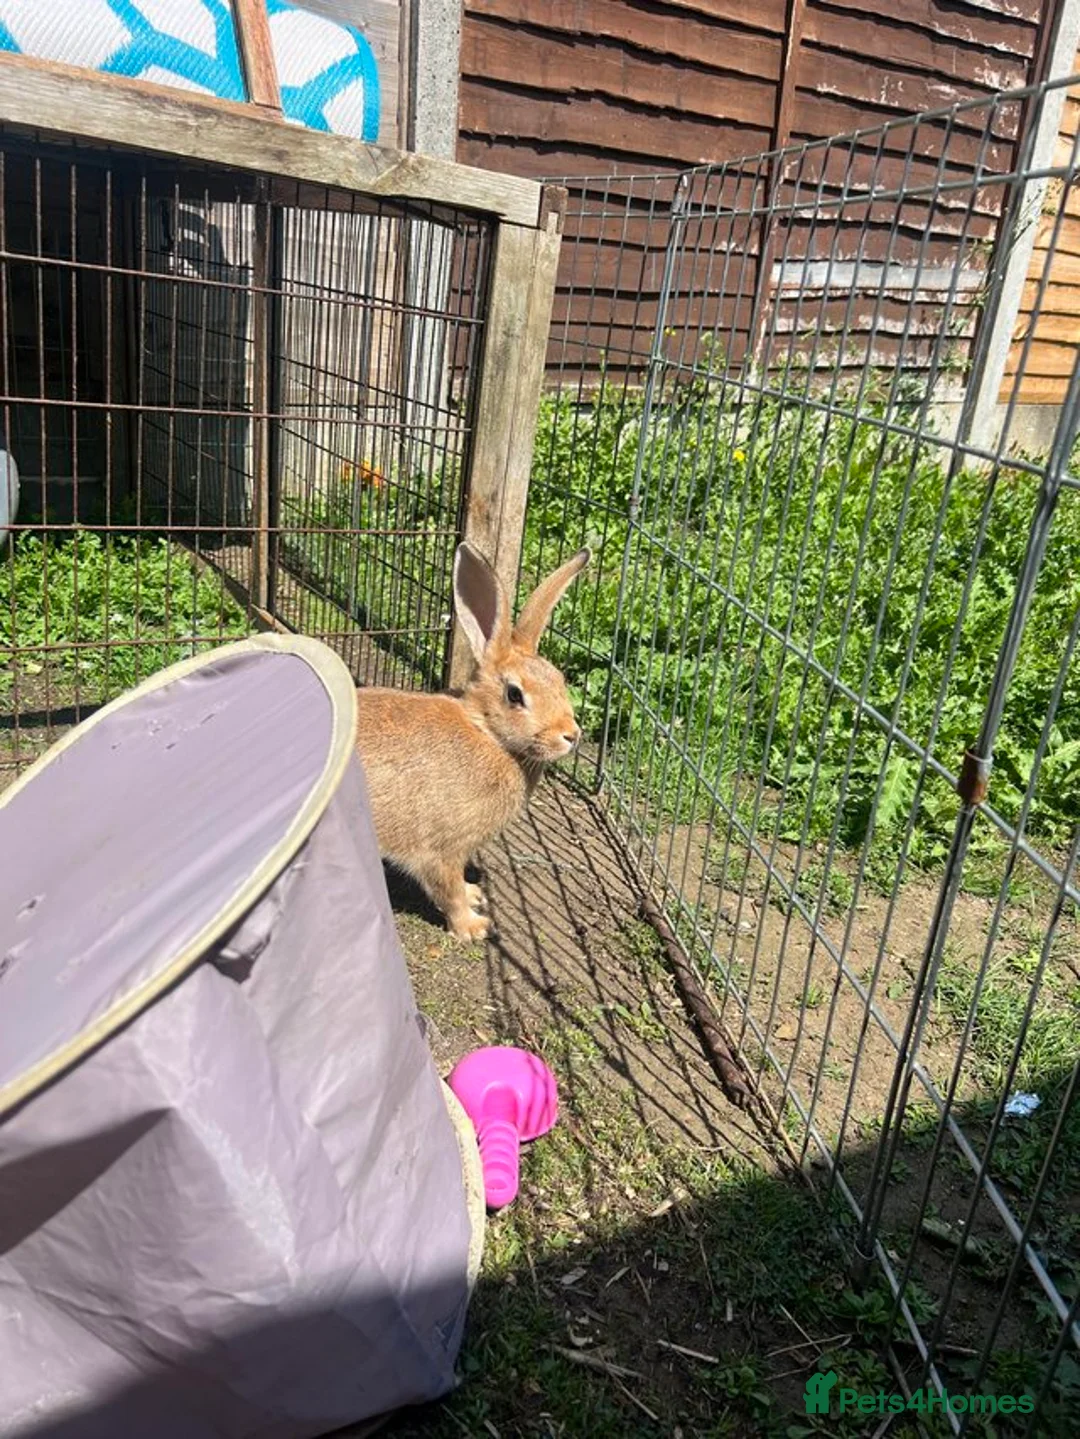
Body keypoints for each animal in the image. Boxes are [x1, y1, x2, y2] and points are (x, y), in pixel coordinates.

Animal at [355, 542, 590, 941]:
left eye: (559, 679)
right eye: (515, 695)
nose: (570, 736)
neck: (488, 734)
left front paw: (474, 893)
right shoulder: (440, 848)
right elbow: (446, 889)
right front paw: (474, 927)